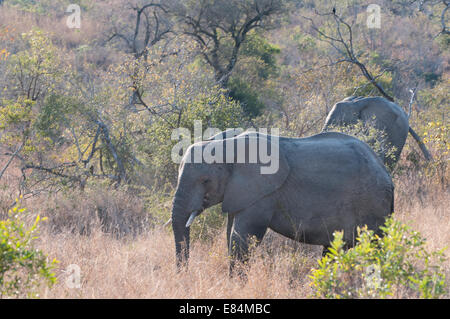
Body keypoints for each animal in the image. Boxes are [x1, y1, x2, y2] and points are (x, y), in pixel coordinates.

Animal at [171, 130, 392, 272]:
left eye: (205, 180)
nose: (185, 275)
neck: (226, 146)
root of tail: (384, 170)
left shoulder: (263, 194)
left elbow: (243, 237)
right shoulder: (239, 193)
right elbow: (230, 234)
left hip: (373, 205)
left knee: (375, 248)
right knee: (333, 250)